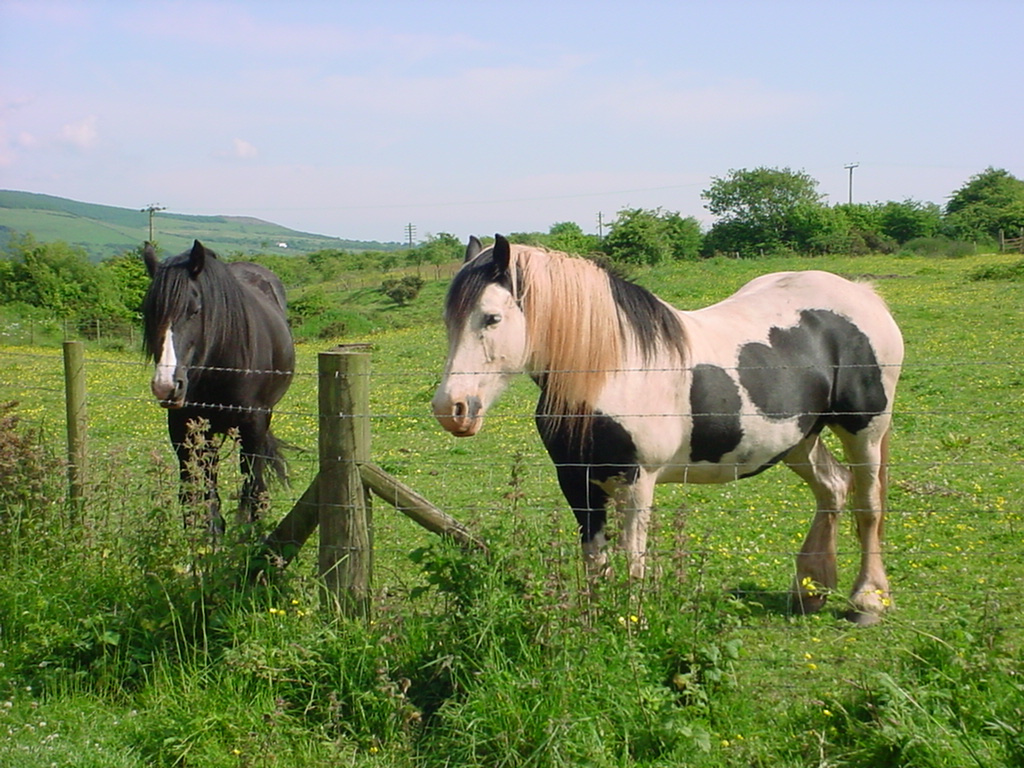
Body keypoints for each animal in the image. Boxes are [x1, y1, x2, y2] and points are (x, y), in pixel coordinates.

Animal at [141, 240, 292, 528]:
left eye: (195, 310)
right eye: (150, 313)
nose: (166, 386)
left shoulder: (253, 426)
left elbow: (253, 489)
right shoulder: (184, 428)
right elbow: (195, 498)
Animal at [432, 236, 905, 626]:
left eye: (491, 318)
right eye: (449, 321)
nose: (450, 409)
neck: (615, 371)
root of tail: (863, 296)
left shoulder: (637, 482)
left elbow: (633, 558)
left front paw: (631, 622)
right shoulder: (577, 482)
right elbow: (594, 559)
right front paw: (593, 623)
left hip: (864, 430)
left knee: (867, 506)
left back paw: (867, 600)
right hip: (799, 440)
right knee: (833, 488)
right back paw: (810, 590)